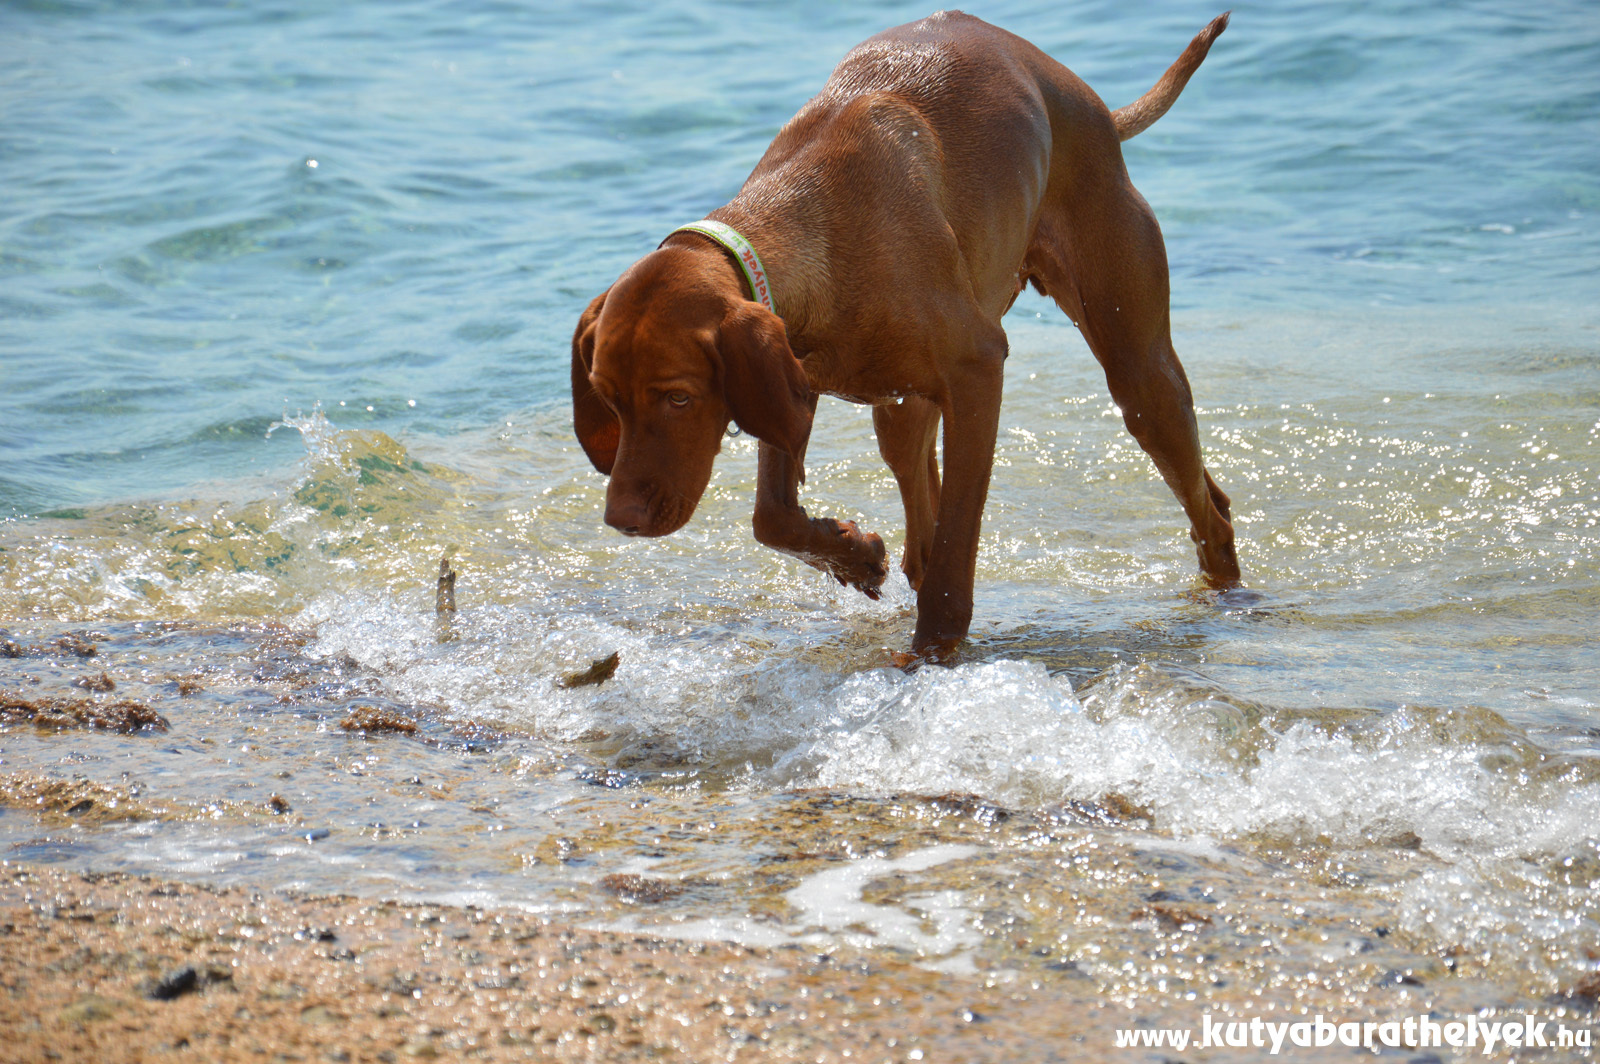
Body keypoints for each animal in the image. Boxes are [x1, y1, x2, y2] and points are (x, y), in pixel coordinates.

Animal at [569, 10, 1241, 656]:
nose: (620, 519)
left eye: (680, 398)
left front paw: (933, 647)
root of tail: (1097, 108)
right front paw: (855, 555)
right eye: (607, 399)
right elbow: (772, 518)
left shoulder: (978, 372)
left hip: (1138, 372)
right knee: (920, 514)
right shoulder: (787, 379)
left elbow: (955, 545)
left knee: (1208, 506)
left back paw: (1229, 597)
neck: (807, 220)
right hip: (901, 408)